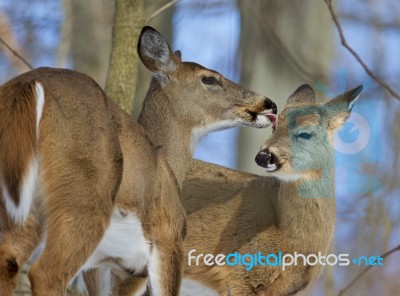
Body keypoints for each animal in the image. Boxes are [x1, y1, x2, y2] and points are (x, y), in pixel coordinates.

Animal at [0, 26, 278, 294]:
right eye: (209, 78)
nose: (269, 103)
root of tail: (29, 86)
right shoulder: (167, 239)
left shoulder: (104, 265)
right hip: (83, 198)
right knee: (46, 273)